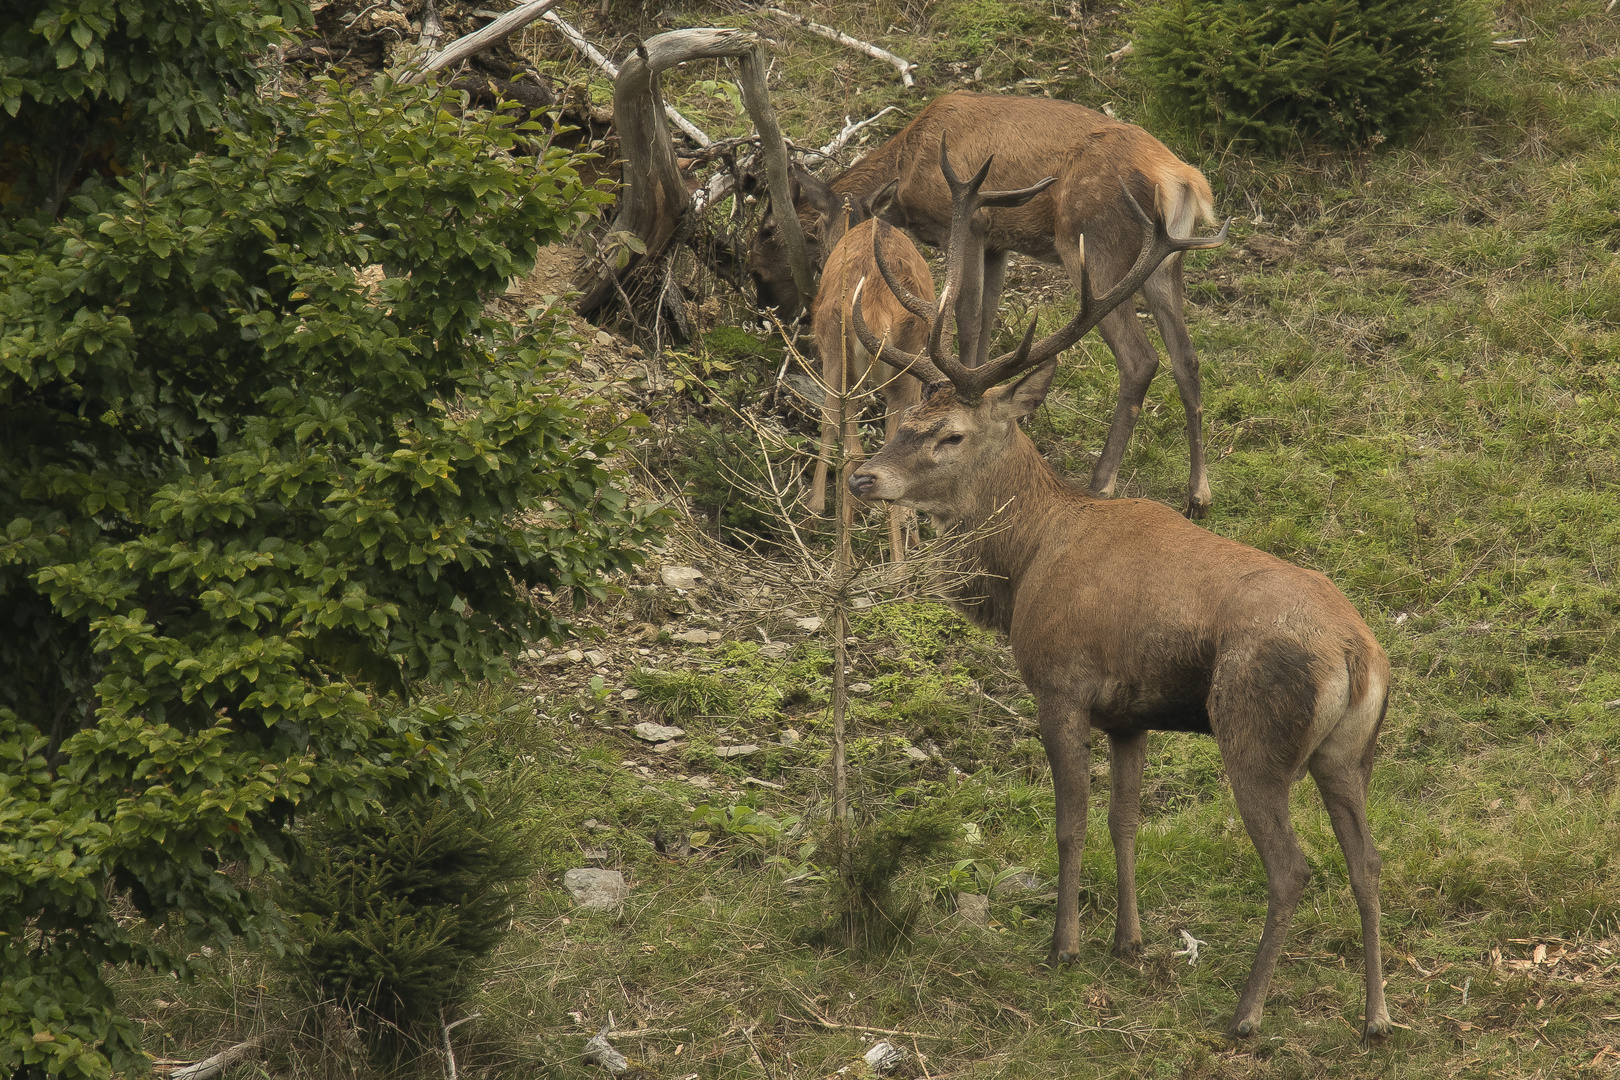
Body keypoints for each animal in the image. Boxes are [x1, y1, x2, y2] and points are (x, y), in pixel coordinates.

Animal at [751, 88, 1218, 518]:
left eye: (769, 230)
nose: (767, 301)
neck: (907, 168)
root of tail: (1184, 181)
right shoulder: (999, 243)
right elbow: (987, 319)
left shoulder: (969, 225)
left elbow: (969, 317)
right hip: (1166, 261)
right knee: (1187, 357)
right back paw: (1198, 494)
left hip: (1095, 245)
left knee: (1139, 358)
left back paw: (1101, 483)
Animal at [848, 148, 1393, 1042]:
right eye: (901, 424)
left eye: (950, 435)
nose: (865, 478)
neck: (1030, 558)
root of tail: (1357, 652)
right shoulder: (1131, 715)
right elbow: (1124, 822)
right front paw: (1128, 941)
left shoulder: (1060, 683)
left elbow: (1070, 825)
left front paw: (1064, 946)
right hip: (1349, 750)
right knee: (1369, 861)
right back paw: (1377, 1016)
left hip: (1253, 733)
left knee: (1293, 869)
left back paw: (1246, 1013)